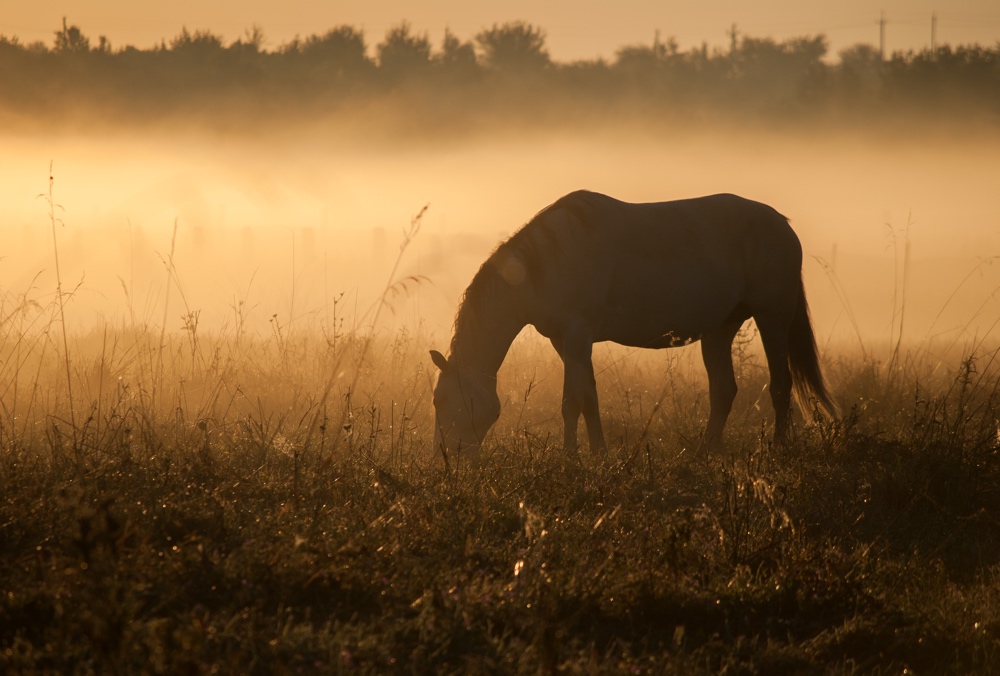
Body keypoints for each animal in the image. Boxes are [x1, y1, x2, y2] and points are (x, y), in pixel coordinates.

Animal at [430, 191, 836, 464]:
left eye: (441, 400)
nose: (445, 458)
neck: (543, 267)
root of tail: (782, 224)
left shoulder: (577, 334)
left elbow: (571, 401)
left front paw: (570, 459)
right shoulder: (565, 341)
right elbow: (588, 397)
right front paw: (599, 455)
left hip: (773, 315)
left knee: (780, 384)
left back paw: (778, 451)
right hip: (721, 327)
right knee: (724, 390)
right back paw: (703, 453)